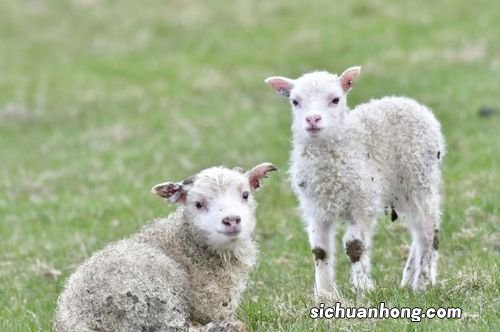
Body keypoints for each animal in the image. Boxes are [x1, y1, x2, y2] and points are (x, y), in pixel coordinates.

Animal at [266, 66, 446, 300]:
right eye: (295, 101)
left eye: (335, 99)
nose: (313, 119)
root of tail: (410, 103)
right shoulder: (316, 208)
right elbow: (320, 250)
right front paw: (324, 294)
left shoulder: (362, 203)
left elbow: (355, 247)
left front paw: (363, 288)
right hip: (402, 190)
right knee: (419, 230)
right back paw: (408, 280)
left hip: (420, 180)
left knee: (428, 230)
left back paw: (423, 282)